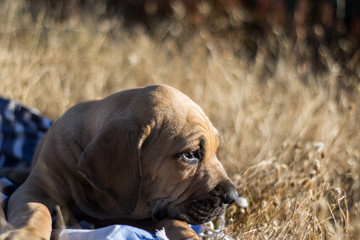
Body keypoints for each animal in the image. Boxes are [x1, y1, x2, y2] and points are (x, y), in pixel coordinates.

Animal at [0, 85, 238, 240]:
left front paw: (188, 235)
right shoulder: (38, 188)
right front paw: (27, 234)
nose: (233, 196)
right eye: (190, 155)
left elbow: (177, 224)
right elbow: (35, 210)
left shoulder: (142, 214)